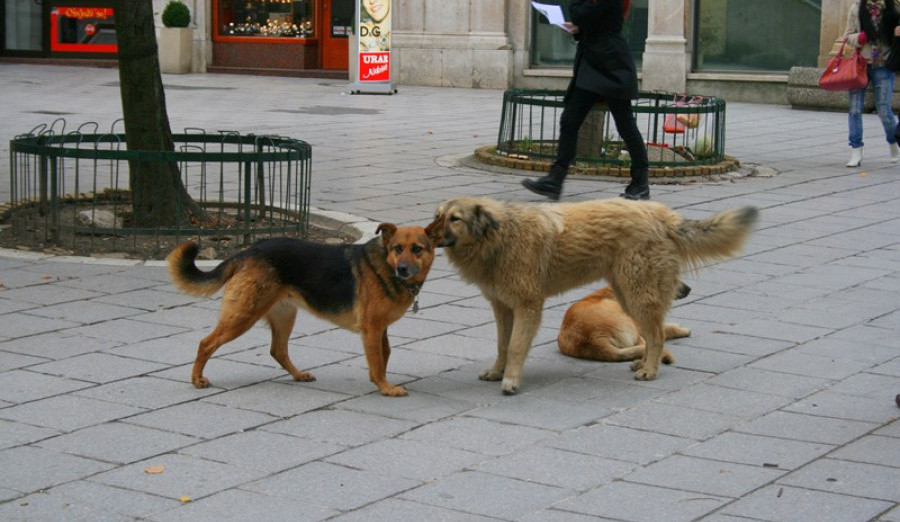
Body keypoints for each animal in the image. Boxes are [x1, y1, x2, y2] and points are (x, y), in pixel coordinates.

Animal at [168, 221, 442, 396]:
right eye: (398, 248)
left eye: (417, 249)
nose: (402, 269)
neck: (385, 265)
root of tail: (248, 252)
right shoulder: (372, 329)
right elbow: (377, 362)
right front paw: (385, 387)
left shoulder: (380, 329)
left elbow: (385, 355)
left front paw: (382, 382)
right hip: (243, 316)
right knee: (206, 343)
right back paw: (196, 379)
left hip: (285, 316)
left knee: (277, 350)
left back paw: (298, 375)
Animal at [432, 197, 756, 392]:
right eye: (438, 217)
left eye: (455, 219)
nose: (427, 233)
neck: (501, 237)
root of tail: (663, 217)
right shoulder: (502, 307)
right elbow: (502, 345)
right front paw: (497, 372)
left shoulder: (527, 306)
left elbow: (515, 347)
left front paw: (511, 380)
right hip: (626, 295)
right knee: (651, 335)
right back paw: (642, 362)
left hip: (639, 295)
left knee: (656, 335)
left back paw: (650, 370)